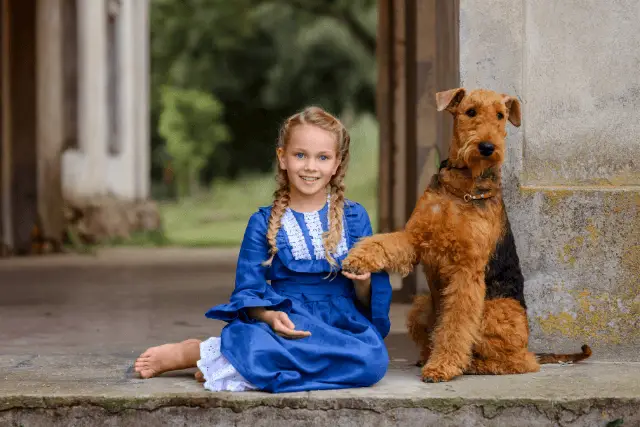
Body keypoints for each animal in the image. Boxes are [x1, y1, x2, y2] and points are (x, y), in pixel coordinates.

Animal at [344, 88, 592, 382]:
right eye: (470, 111)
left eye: (500, 115)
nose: (487, 147)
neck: (462, 188)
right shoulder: (416, 238)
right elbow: (385, 243)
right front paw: (357, 259)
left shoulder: (467, 269)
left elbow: (457, 324)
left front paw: (443, 366)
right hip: (423, 306)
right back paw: (428, 356)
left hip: (494, 314)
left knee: (520, 361)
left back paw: (472, 365)